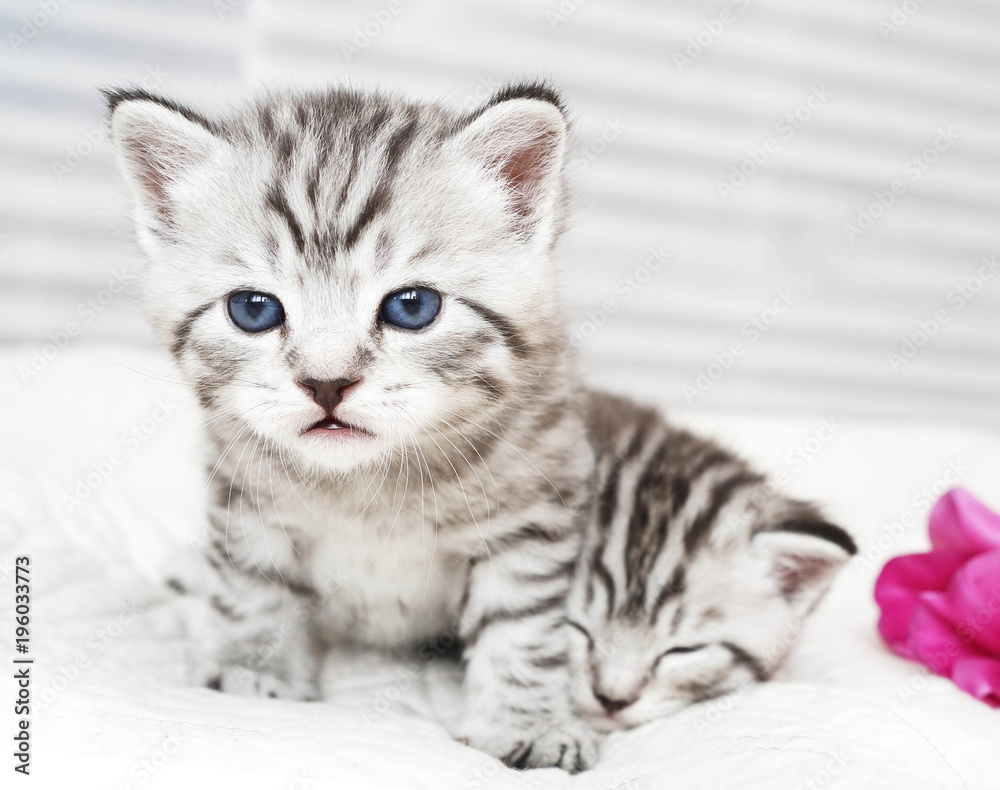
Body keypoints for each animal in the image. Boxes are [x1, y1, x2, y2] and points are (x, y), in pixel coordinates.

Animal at [105, 83, 596, 772]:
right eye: (253, 309)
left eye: (412, 306)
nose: (326, 383)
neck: (370, 486)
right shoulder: (247, 494)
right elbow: (255, 586)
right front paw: (255, 673)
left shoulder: (532, 506)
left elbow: (519, 624)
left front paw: (528, 722)